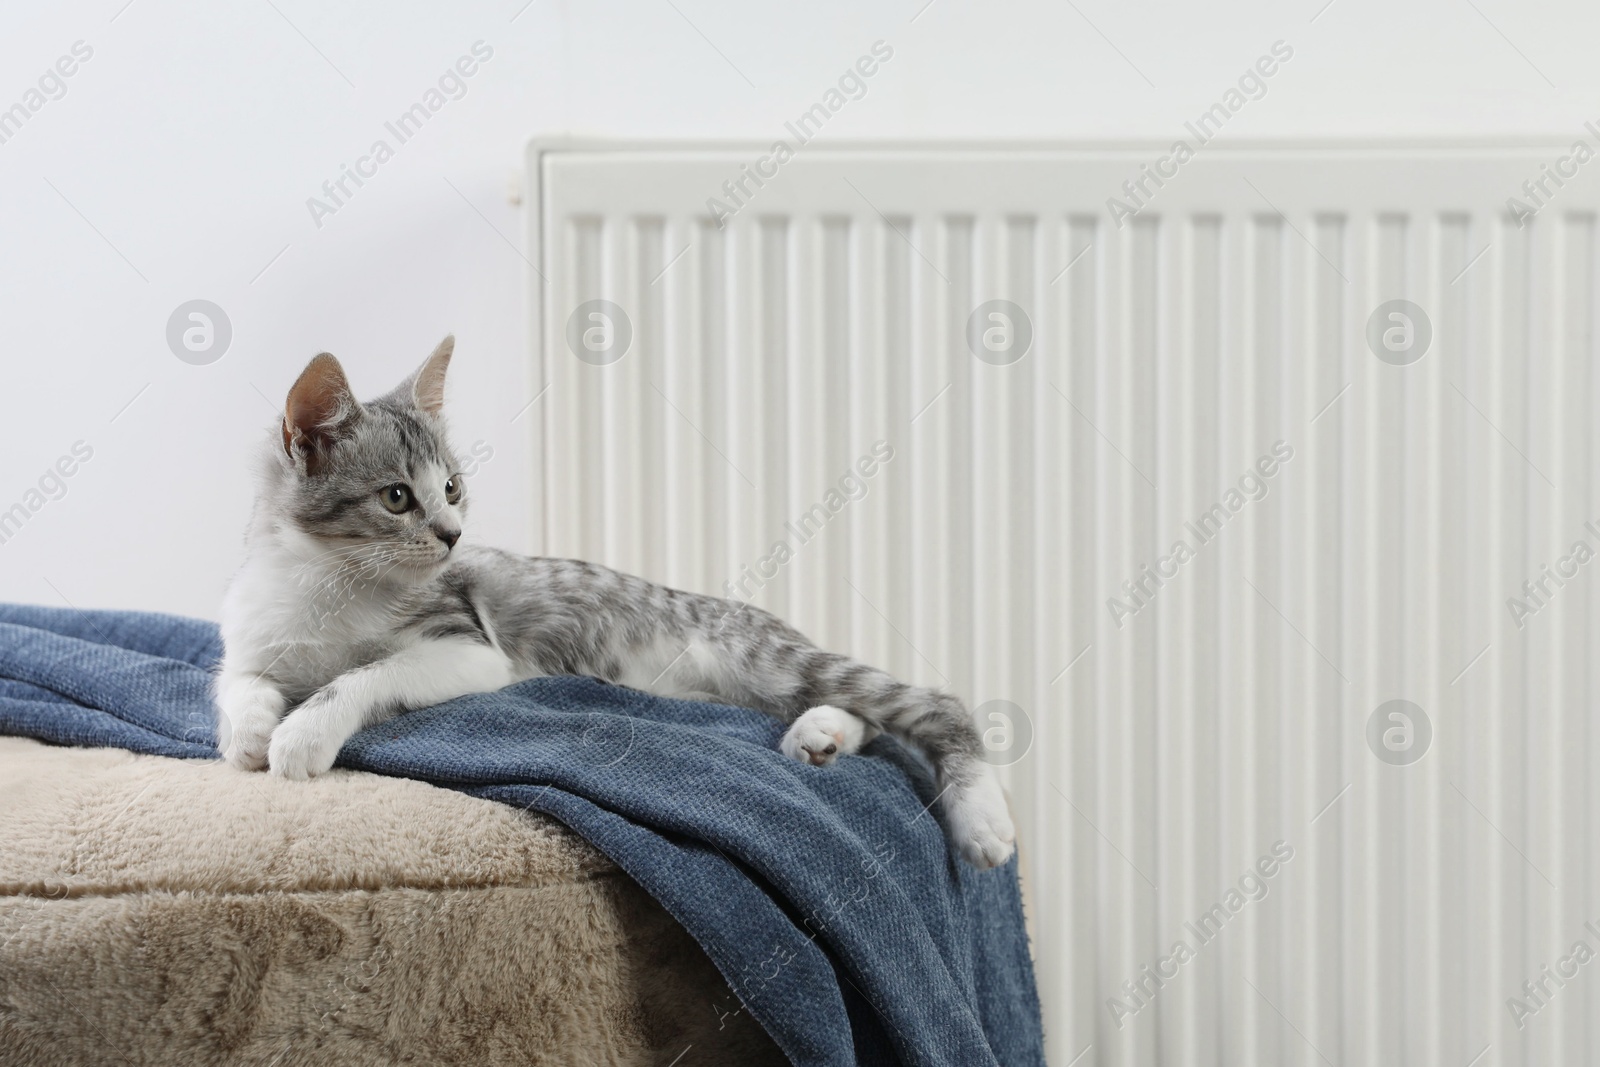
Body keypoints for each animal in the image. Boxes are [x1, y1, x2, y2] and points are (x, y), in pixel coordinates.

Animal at [216, 337, 1011, 870]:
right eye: (396, 496)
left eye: (451, 488)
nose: (453, 535)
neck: (325, 586)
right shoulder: (249, 638)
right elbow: (239, 683)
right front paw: (248, 732)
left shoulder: (468, 647)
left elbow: (365, 674)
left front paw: (301, 733)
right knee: (860, 715)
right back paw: (823, 737)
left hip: (762, 656)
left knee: (927, 704)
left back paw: (981, 818)